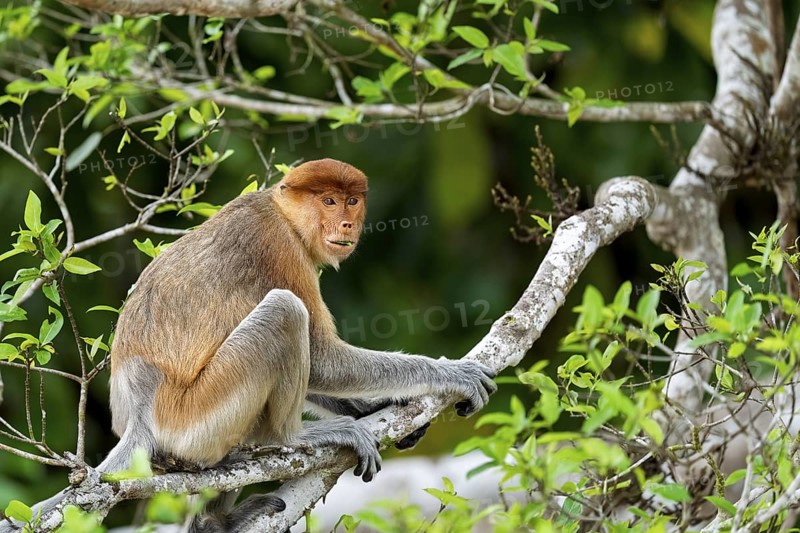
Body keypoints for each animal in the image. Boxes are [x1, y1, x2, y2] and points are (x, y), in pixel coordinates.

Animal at [0, 159, 496, 533]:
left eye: (352, 199)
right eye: (328, 200)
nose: (346, 223)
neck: (282, 212)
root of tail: (137, 415)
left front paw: (389, 410)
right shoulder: (280, 248)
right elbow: (324, 358)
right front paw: (454, 374)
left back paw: (214, 522)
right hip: (196, 416)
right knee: (284, 312)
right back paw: (293, 437)